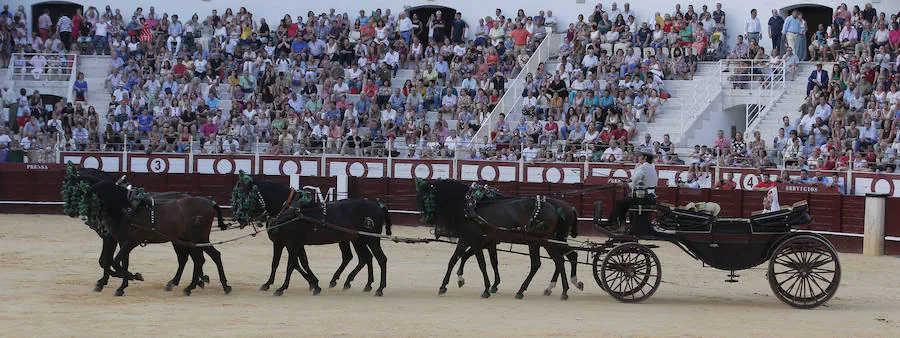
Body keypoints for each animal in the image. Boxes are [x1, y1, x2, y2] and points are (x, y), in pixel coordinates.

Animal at [230, 176, 382, 294]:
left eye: (246, 197)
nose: (238, 218)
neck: (289, 210)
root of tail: (377, 205)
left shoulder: (293, 244)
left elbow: (291, 264)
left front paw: (282, 288)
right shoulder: (281, 243)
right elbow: (280, 263)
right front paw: (268, 284)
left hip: (369, 240)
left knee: (378, 258)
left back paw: (377, 288)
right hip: (359, 240)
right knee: (365, 257)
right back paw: (364, 284)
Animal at [418, 178, 580, 300]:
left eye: (426, 198)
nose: (426, 220)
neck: (468, 206)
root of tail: (558, 209)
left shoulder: (476, 241)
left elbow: (481, 264)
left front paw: (486, 288)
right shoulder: (470, 240)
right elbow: (456, 260)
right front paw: (445, 285)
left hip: (537, 241)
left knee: (542, 263)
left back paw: (526, 290)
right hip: (547, 241)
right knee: (561, 259)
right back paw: (561, 289)